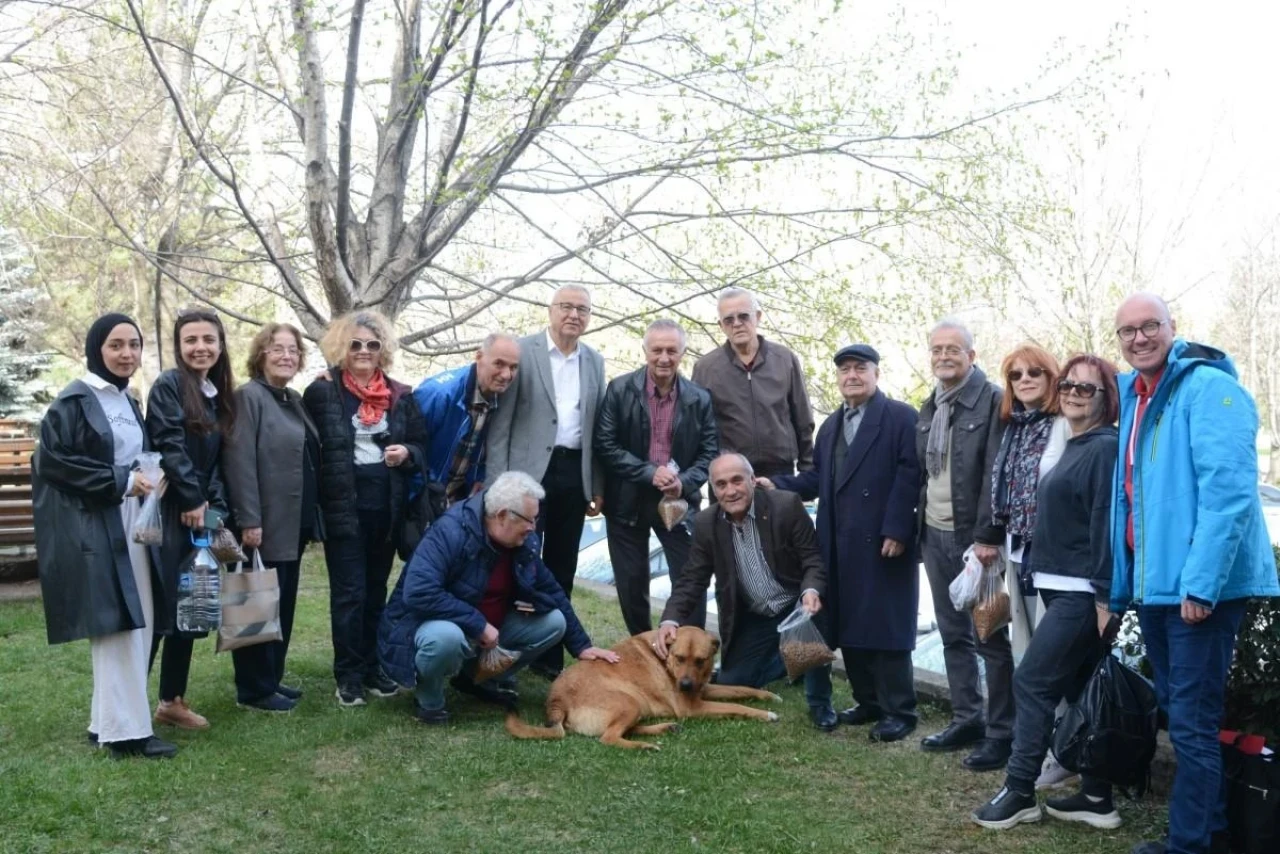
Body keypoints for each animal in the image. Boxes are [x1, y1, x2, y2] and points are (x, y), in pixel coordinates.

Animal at [504, 624, 773, 752]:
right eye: (679, 658)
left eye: (700, 660)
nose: (685, 685)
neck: (665, 658)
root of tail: (556, 702)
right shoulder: (692, 707)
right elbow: (737, 707)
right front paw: (766, 714)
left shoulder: (702, 690)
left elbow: (740, 689)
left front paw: (768, 696)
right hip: (629, 702)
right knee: (609, 738)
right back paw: (645, 746)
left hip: (635, 705)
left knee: (626, 730)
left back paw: (665, 728)